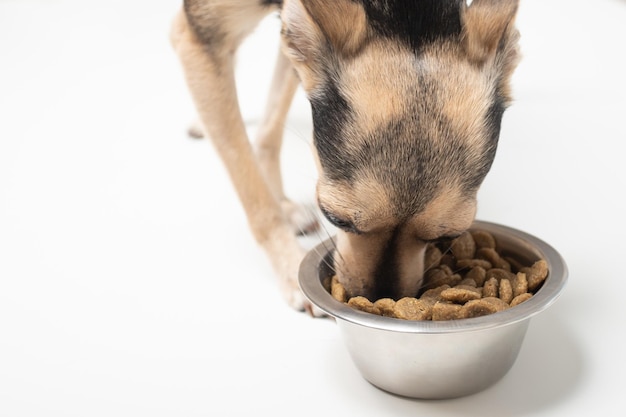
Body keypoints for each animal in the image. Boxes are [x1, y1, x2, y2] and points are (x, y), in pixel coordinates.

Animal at [168, 0, 520, 312]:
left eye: (449, 236)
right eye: (336, 219)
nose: (380, 298)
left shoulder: (291, 41)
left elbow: (268, 130)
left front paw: (283, 204)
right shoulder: (206, 35)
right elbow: (255, 195)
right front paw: (290, 264)